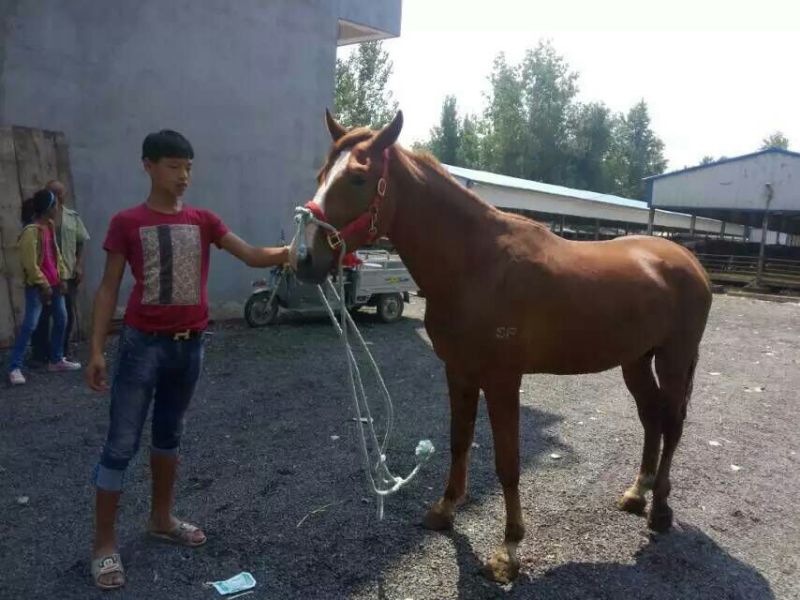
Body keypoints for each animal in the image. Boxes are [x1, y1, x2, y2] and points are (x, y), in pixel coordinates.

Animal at [290, 110, 712, 583]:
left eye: (359, 178)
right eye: (322, 175)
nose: (303, 258)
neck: (475, 265)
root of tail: (688, 260)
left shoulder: (502, 380)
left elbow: (507, 463)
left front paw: (508, 550)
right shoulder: (458, 371)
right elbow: (459, 441)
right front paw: (445, 510)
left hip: (674, 358)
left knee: (672, 423)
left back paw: (660, 510)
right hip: (635, 361)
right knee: (651, 418)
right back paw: (637, 493)